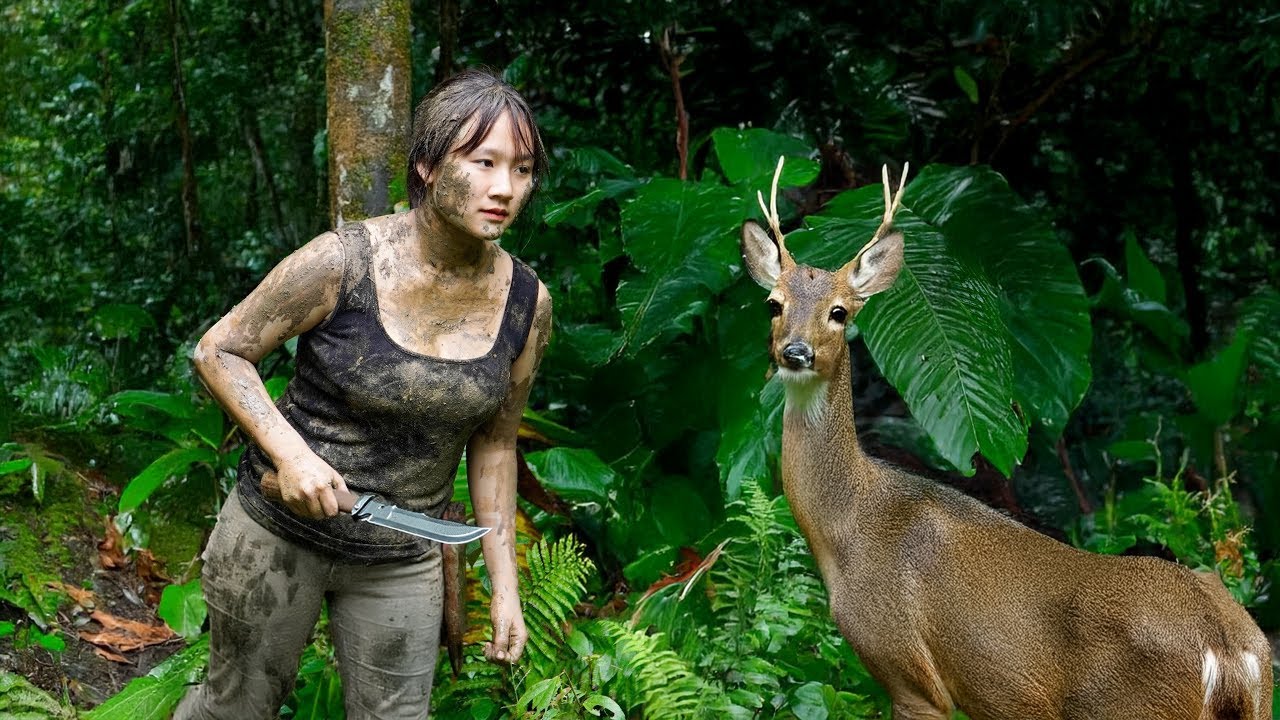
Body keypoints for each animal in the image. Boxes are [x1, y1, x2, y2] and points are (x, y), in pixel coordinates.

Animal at [739, 157, 1273, 719]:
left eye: (840, 311)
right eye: (773, 304)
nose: (795, 352)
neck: (847, 526)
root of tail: (1230, 651)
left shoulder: (905, 670)